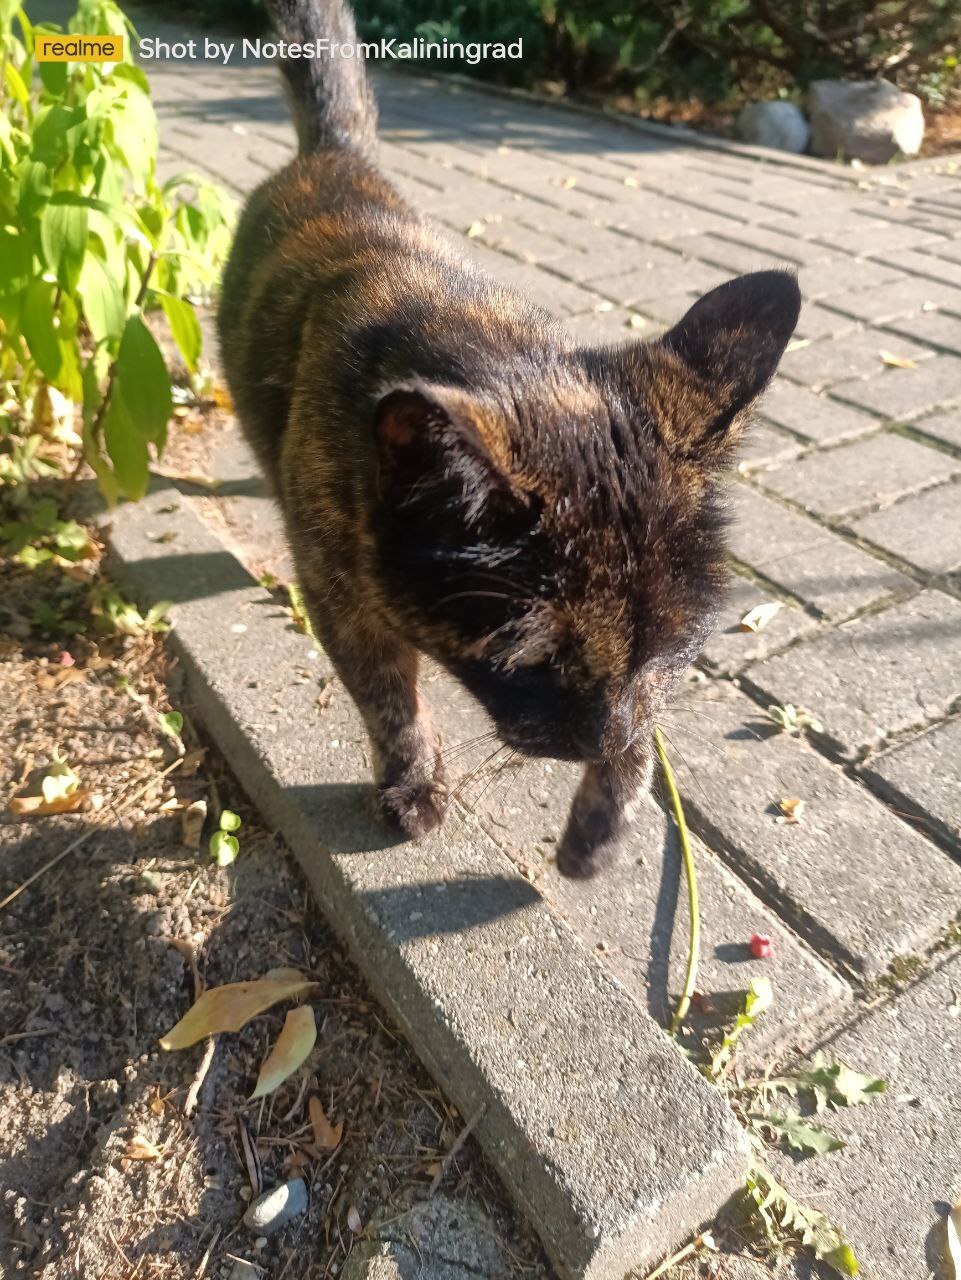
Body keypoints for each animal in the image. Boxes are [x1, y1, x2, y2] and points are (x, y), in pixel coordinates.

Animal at [220, 0, 803, 880]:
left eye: (670, 649)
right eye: (529, 662)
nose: (601, 734)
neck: (478, 341)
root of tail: (333, 154)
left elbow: (645, 734)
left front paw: (600, 824)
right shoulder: (338, 597)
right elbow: (389, 701)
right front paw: (414, 784)